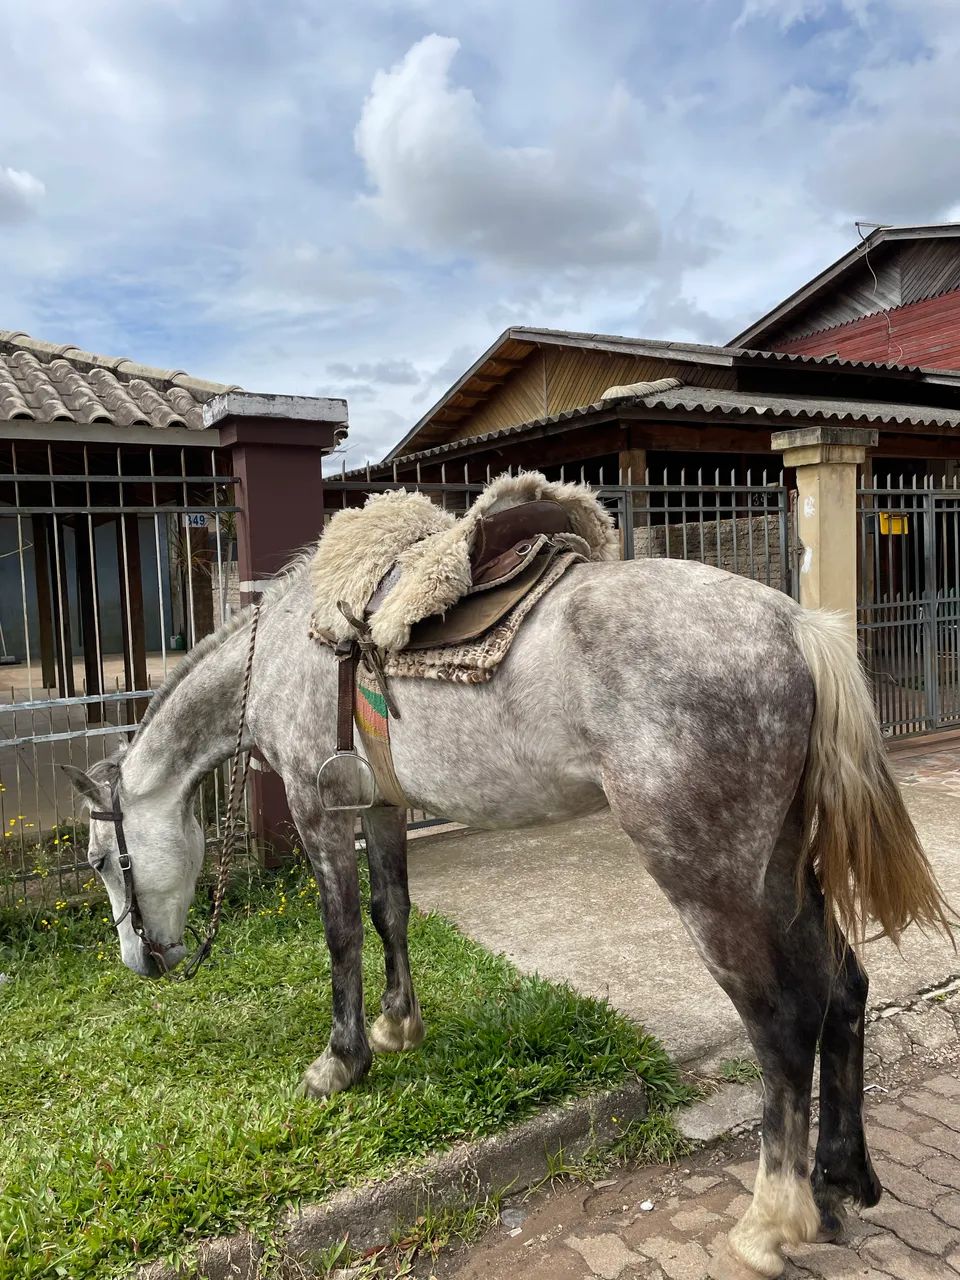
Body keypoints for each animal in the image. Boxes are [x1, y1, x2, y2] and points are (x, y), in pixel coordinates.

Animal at [64, 552, 951, 1278]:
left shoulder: (320, 812)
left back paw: (771, 1222)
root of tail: (793, 627)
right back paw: (838, 1182)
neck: (287, 650)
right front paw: (399, 1027)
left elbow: (341, 932)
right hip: (780, 865)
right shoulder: (381, 804)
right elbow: (390, 911)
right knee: (843, 990)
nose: (143, 961)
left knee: (782, 1025)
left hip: (710, 881)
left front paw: (342, 1062)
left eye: (104, 859)